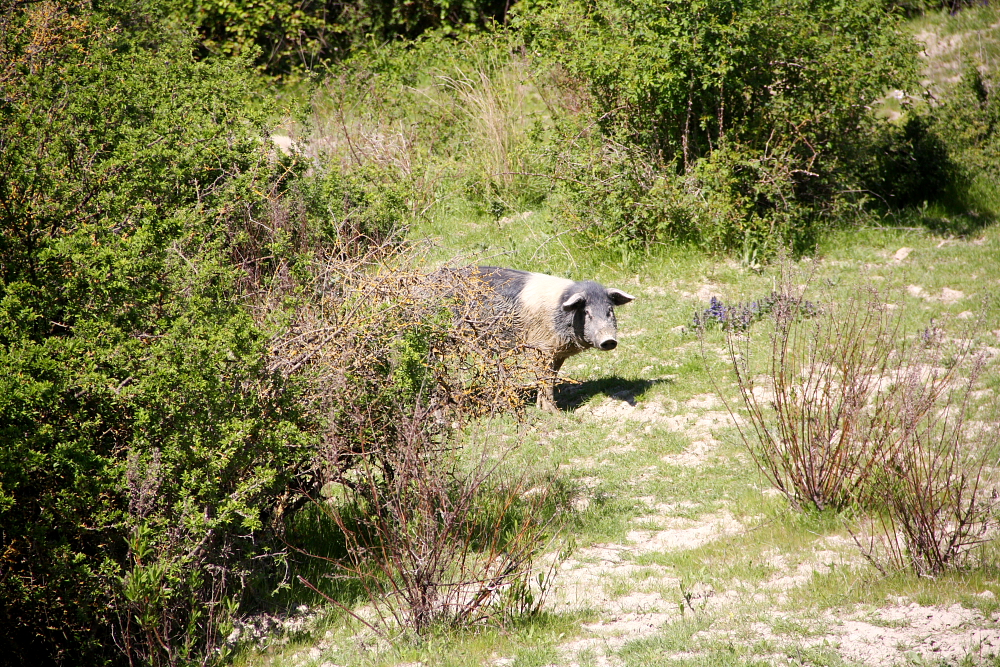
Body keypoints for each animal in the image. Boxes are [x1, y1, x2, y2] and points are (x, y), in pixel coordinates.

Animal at [474, 266, 632, 412]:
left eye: (609, 311)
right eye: (587, 312)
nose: (609, 340)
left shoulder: (558, 352)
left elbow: (551, 377)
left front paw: (545, 409)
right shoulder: (541, 348)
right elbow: (544, 378)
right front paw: (555, 412)